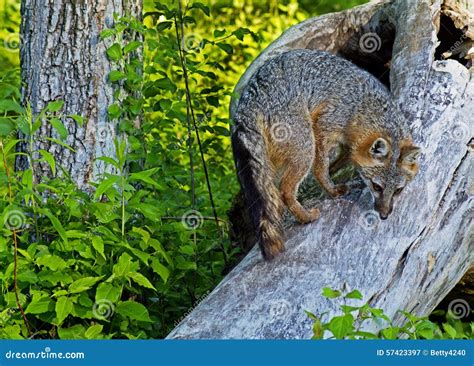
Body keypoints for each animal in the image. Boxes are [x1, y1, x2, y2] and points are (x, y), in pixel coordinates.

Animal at [231, 48, 420, 260]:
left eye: (398, 190)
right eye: (377, 187)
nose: (384, 215)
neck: (362, 106)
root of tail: (248, 101)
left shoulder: (348, 144)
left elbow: (338, 161)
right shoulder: (324, 127)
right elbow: (320, 168)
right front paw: (331, 190)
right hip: (306, 147)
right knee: (285, 190)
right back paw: (305, 217)